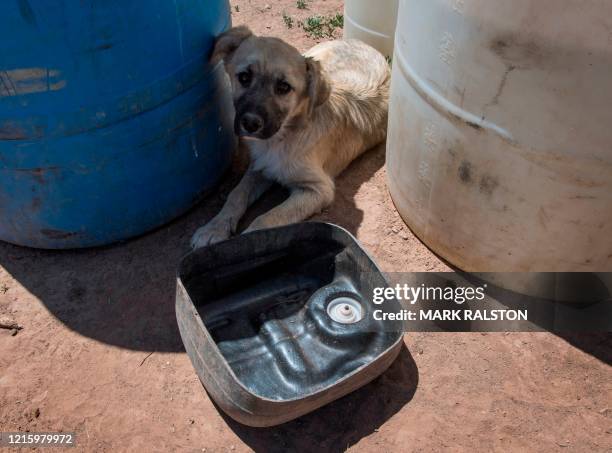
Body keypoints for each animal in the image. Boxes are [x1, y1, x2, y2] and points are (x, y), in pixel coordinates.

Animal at [191, 26, 390, 249]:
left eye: (284, 87)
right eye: (244, 77)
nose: (250, 123)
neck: (282, 138)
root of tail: (361, 42)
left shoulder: (318, 190)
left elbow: (268, 218)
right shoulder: (260, 167)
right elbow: (236, 194)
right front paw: (214, 227)